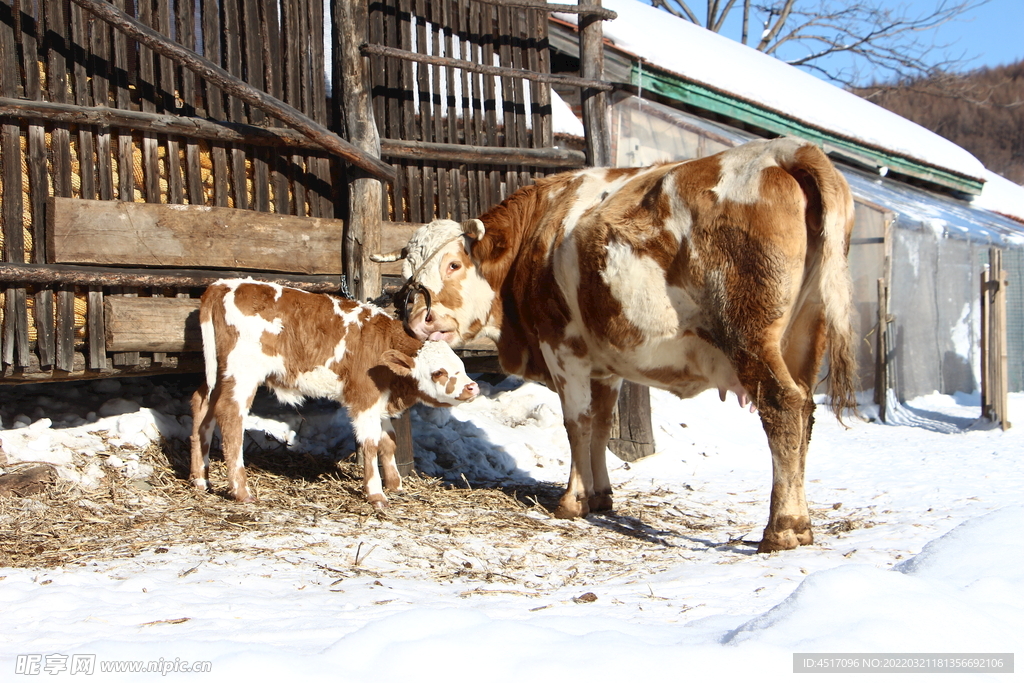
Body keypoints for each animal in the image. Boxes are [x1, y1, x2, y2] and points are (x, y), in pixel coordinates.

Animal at [189, 278, 479, 507]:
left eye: (462, 366)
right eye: (439, 372)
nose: (472, 387)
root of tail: (222, 285)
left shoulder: (379, 400)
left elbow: (389, 442)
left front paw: (395, 485)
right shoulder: (364, 397)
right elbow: (371, 444)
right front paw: (376, 494)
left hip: (219, 371)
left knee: (202, 405)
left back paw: (200, 479)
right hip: (242, 371)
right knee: (230, 416)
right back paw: (241, 491)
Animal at [374, 137, 856, 548]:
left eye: (453, 264)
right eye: (408, 272)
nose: (417, 317)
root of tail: (786, 149)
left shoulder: (562, 347)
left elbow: (577, 423)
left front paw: (572, 501)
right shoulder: (603, 364)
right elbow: (602, 423)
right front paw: (601, 495)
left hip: (750, 336)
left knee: (782, 407)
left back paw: (782, 528)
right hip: (805, 338)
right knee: (806, 411)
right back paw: (801, 522)